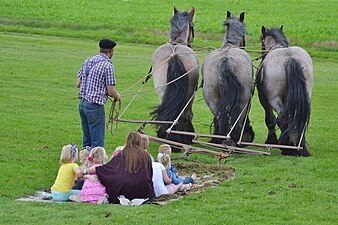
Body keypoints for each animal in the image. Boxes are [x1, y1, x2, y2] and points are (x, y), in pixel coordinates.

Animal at [201, 11, 254, 144]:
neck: (229, 46)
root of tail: (226, 59)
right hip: (243, 100)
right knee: (237, 121)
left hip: (211, 98)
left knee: (219, 117)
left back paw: (219, 138)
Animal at [256, 25, 314, 156]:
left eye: (262, 41)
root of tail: (290, 58)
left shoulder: (263, 99)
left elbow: (270, 119)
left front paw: (271, 140)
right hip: (305, 96)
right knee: (300, 117)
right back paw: (299, 147)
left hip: (273, 99)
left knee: (282, 117)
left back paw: (287, 147)